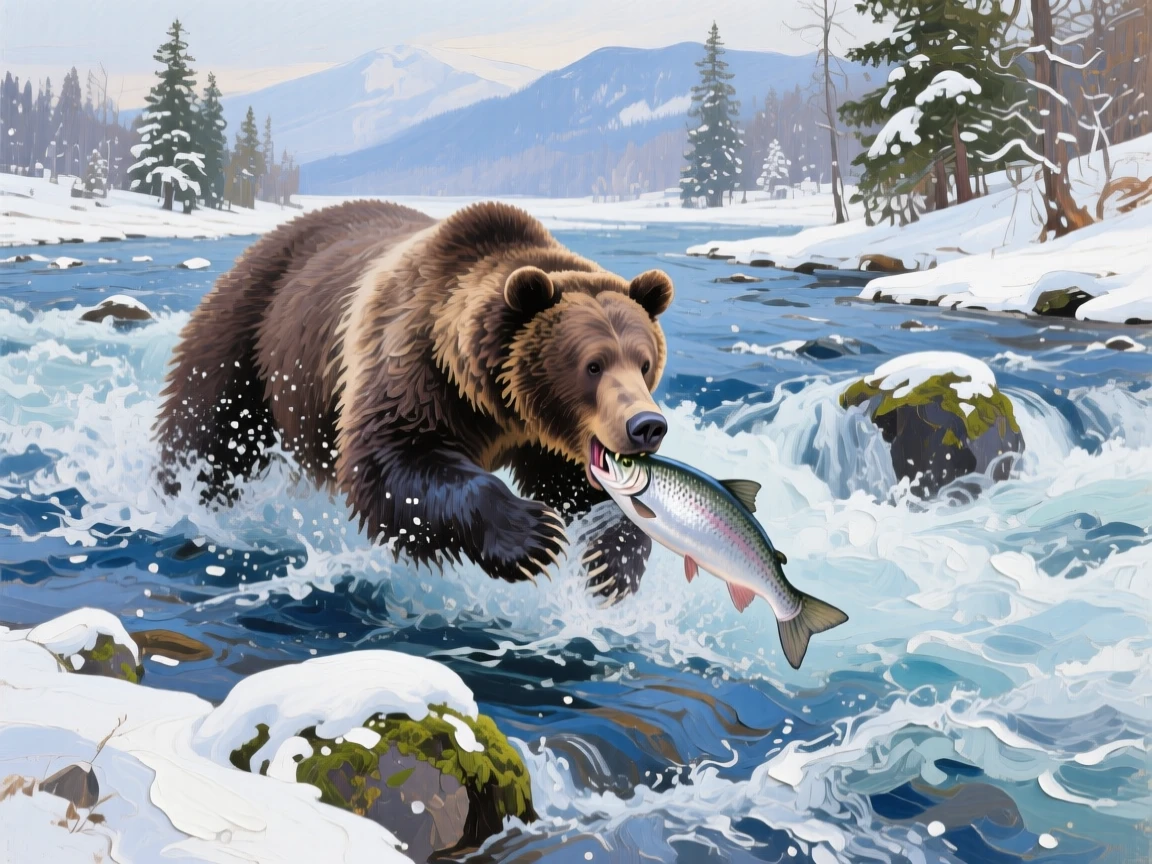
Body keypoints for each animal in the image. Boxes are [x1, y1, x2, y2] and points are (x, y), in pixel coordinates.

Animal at [155, 200, 674, 602]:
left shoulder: (549, 433)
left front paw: (611, 562)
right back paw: (184, 502)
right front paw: (532, 536)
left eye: (644, 362)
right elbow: (393, 463)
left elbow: (577, 484)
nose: (646, 426)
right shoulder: (413, 363)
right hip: (249, 340)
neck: (492, 398)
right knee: (209, 434)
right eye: (593, 364)